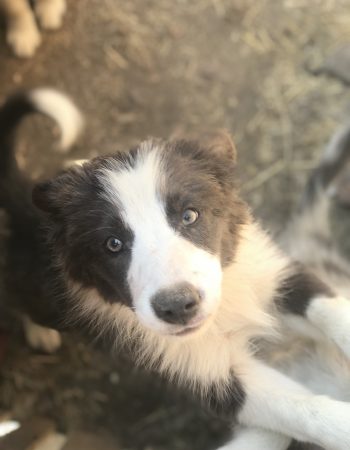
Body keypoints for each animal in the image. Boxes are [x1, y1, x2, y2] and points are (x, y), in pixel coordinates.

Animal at [0, 89, 350, 450]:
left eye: (189, 215)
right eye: (113, 244)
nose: (177, 307)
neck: (224, 309)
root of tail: (29, 208)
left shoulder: (274, 274)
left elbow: (330, 309)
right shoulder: (204, 374)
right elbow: (298, 408)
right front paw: (341, 424)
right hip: (40, 297)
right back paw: (40, 334)